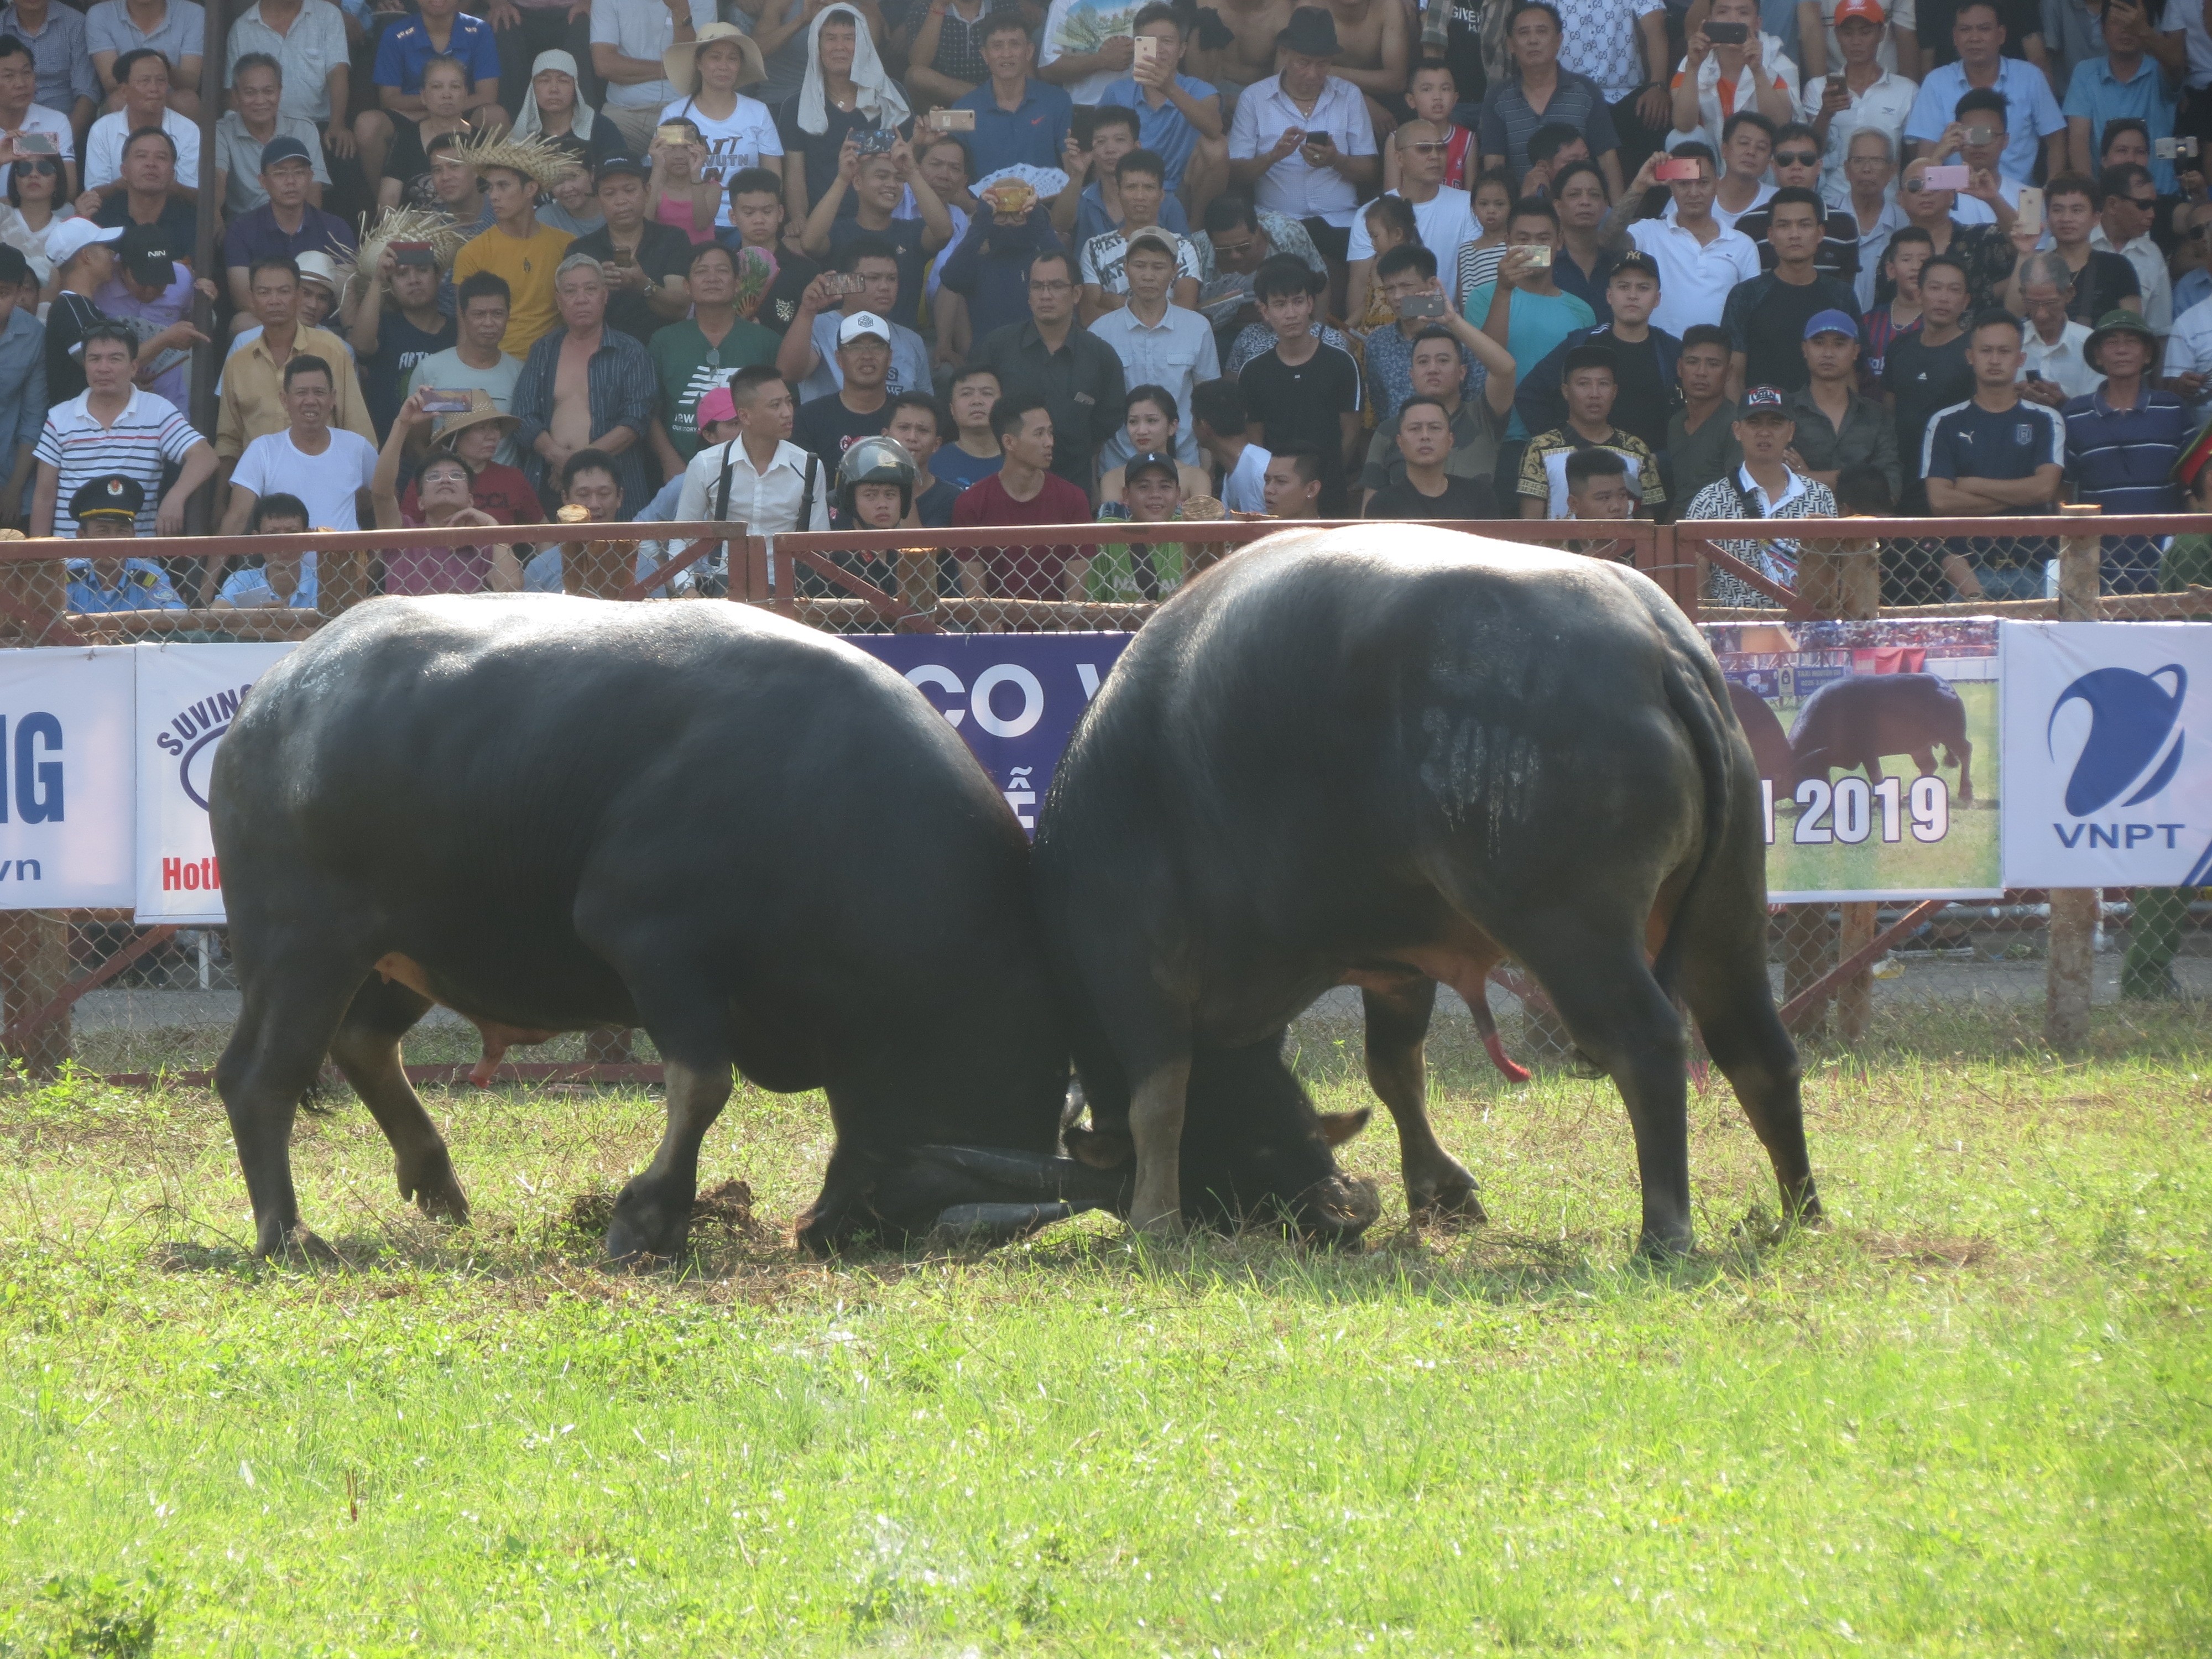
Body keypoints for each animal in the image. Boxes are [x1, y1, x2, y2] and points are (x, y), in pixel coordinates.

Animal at [208, 597, 1133, 1256]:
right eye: (929, 1188)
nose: (836, 1235)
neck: (823, 804)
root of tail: (273, 699)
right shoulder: (657, 948)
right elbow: (702, 1083)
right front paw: (648, 1217)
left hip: (408, 950)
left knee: (364, 1043)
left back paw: (439, 1185)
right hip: (301, 946)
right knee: (260, 1075)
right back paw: (289, 1234)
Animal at [1035, 533, 1814, 1256]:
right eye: (1257, 1144)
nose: (1346, 1208)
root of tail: (1660, 645)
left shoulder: (1134, 971)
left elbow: (1159, 1100)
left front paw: (1154, 1222)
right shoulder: (1397, 965)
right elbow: (1394, 1070)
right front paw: (1441, 1193)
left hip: (1569, 928)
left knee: (1646, 1041)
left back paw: (1664, 1232)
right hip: (1729, 908)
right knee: (1755, 1047)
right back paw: (1799, 1213)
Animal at [1787, 672, 1982, 810]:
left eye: (1802, 773)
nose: (1797, 799)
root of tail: (1947, 687)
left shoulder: (1868, 753)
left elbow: (1876, 776)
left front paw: (1880, 801)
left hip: (1952, 735)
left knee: (1965, 751)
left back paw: (1966, 792)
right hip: (1919, 747)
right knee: (1929, 765)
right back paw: (1908, 796)